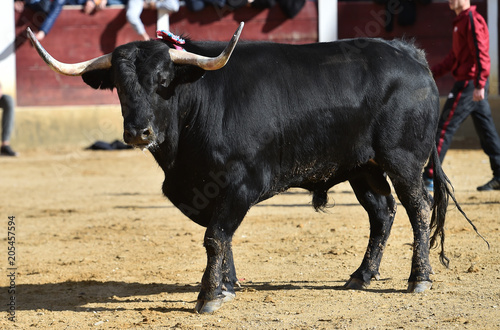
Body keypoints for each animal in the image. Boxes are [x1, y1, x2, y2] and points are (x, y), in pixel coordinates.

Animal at [26, 24, 476, 314]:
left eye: (163, 78)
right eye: (119, 86)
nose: (139, 132)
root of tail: (411, 54)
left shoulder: (241, 183)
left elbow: (214, 236)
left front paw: (209, 296)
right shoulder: (208, 191)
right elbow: (222, 238)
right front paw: (227, 286)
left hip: (403, 160)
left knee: (418, 210)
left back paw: (419, 278)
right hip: (361, 166)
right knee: (381, 214)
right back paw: (361, 275)